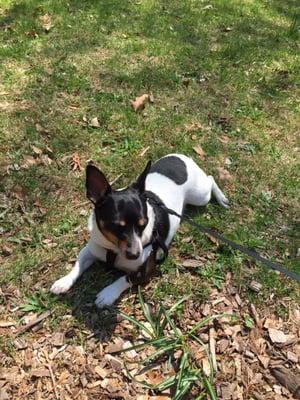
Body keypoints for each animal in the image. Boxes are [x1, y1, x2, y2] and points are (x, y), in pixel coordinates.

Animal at [50, 153, 229, 306]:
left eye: (143, 224)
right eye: (116, 226)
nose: (135, 254)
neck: (114, 250)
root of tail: (183, 157)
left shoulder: (146, 270)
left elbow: (125, 278)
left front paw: (108, 293)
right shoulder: (90, 249)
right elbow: (78, 265)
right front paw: (64, 281)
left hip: (200, 196)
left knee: (210, 179)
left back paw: (222, 198)